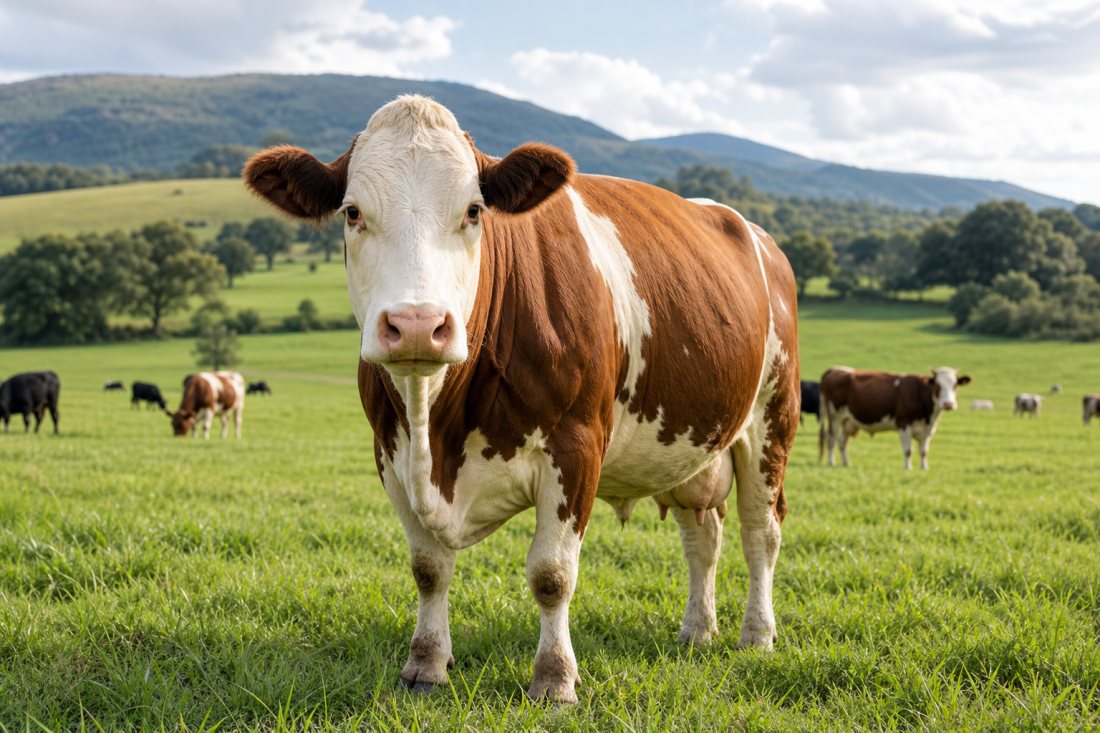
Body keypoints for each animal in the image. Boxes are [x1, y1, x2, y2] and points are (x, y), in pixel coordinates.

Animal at [243, 95, 800, 702]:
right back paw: (698, 629)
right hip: (689, 446)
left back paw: (757, 635)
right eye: (351, 212)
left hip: (773, 418)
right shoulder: (389, 452)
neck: (438, 428)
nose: (416, 325)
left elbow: (551, 574)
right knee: (703, 533)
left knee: (760, 531)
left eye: (474, 211)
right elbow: (428, 567)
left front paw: (554, 679)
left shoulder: (575, 449)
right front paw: (426, 665)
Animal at [819, 366, 970, 470]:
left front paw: (924, 468)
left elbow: (924, 451)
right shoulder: (903, 424)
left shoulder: (927, 430)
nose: (948, 404)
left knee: (842, 442)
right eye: (937, 385)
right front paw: (908, 467)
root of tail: (834, 369)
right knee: (831, 439)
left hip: (848, 421)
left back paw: (846, 463)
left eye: (955, 385)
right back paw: (831, 462)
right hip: (834, 416)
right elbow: (908, 451)